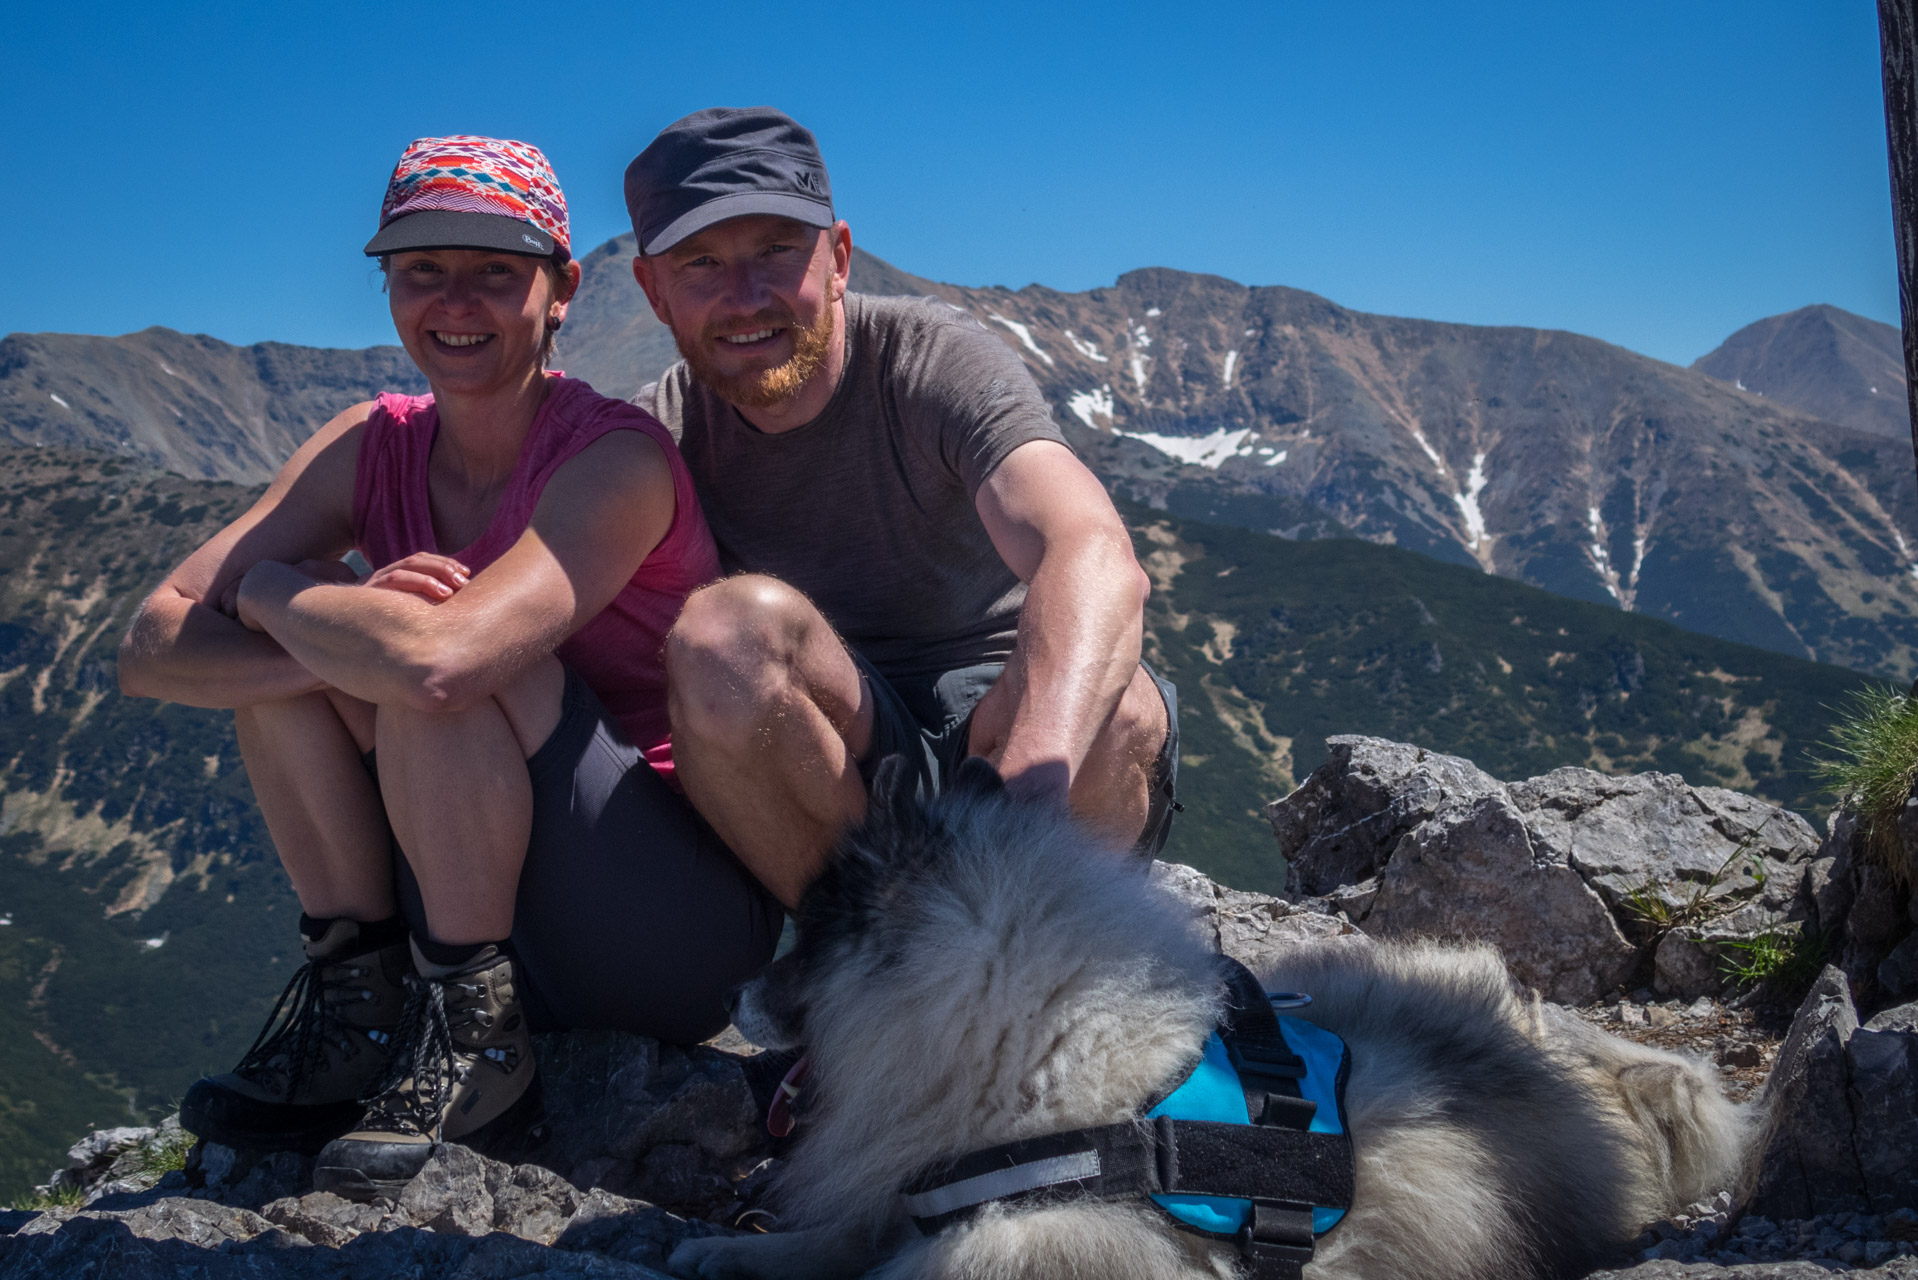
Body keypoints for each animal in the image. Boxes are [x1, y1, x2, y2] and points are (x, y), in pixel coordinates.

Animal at [671, 767, 1756, 1280]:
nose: (731, 994)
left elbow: (945, 1253)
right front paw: (738, 1250)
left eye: (807, 937)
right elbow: (850, 1228)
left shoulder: (1101, 1238)